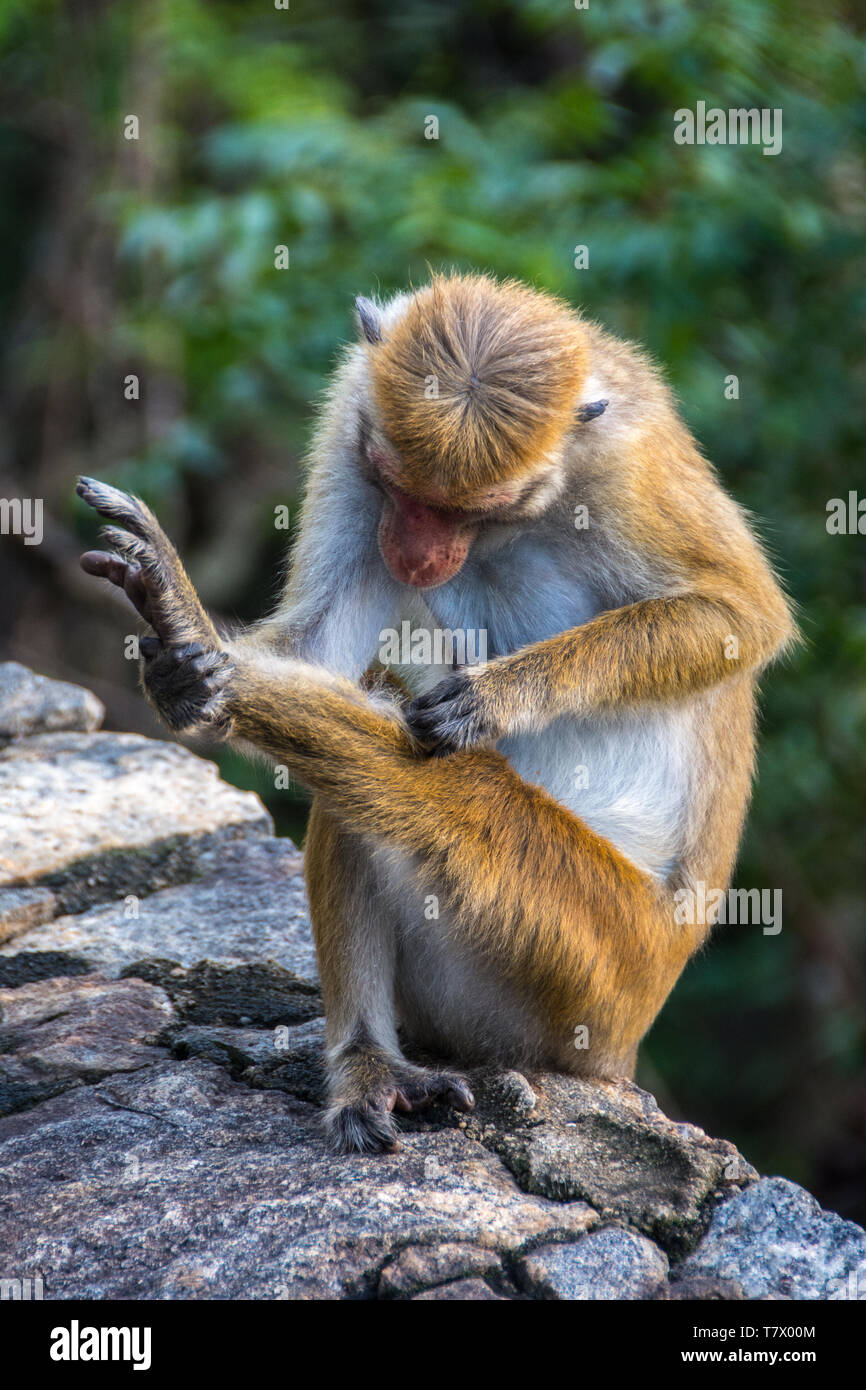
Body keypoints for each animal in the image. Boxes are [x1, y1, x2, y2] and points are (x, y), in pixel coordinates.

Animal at [76, 272, 796, 1155]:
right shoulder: (353, 418)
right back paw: (370, 1060)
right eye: (397, 485)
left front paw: (498, 695)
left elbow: (741, 616)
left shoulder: (631, 467)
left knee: (421, 785)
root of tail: (616, 1049)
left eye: (470, 510)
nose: (415, 553)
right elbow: (322, 644)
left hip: (590, 951)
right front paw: (185, 680)